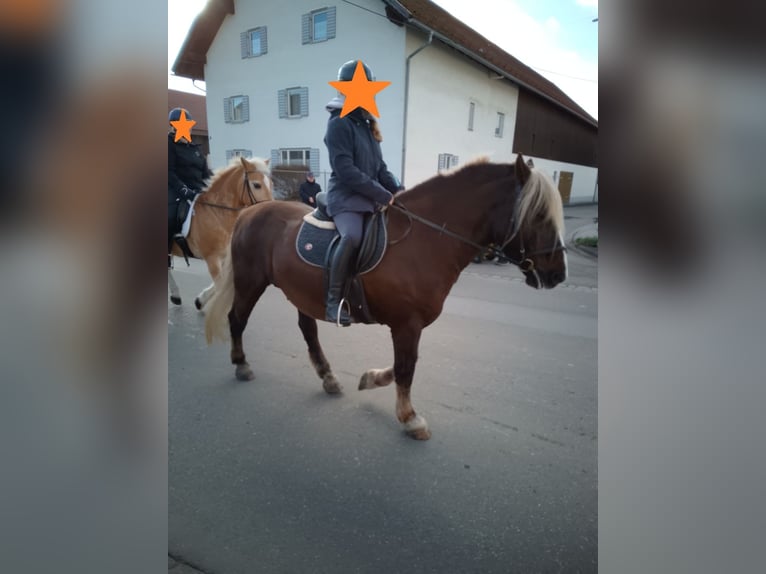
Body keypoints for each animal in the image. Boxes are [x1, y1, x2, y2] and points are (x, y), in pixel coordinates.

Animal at [168, 156, 272, 309]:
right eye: (257, 185)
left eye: (271, 184)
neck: (216, 213)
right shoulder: (212, 258)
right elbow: (220, 285)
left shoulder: (225, 257)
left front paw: (200, 300)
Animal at [204, 154, 567, 440]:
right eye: (538, 214)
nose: (558, 274)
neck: (426, 238)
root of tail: (250, 213)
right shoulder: (406, 324)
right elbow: (406, 367)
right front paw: (410, 419)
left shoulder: (408, 325)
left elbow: (402, 365)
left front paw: (370, 379)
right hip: (251, 283)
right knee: (237, 319)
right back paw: (241, 364)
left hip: (298, 291)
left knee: (308, 330)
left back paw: (328, 377)